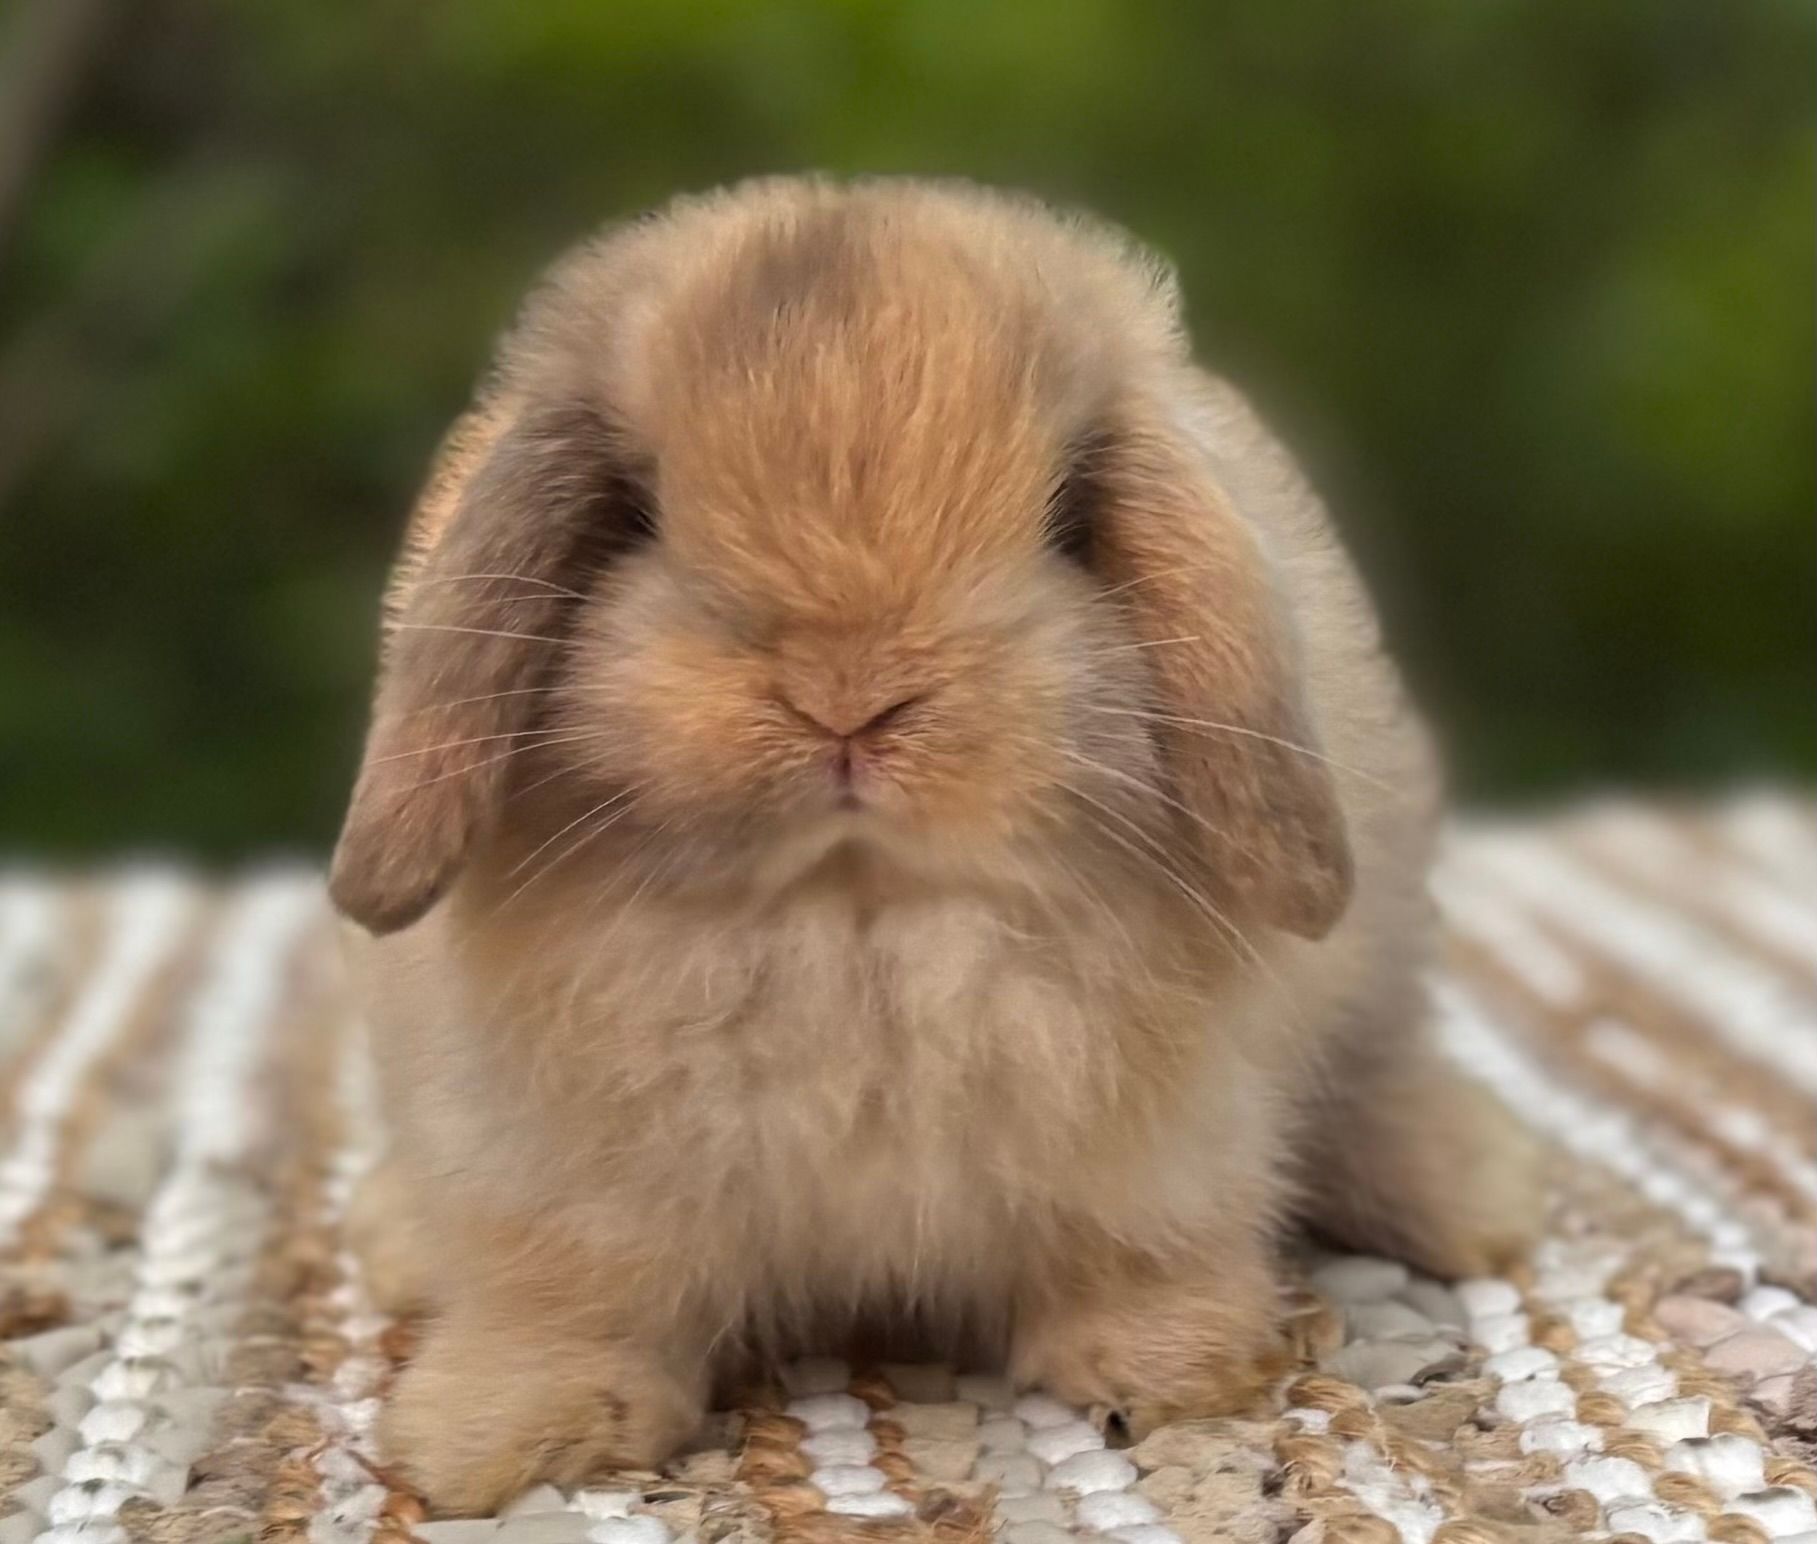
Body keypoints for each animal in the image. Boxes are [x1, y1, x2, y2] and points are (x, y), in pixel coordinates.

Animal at [329, 176, 1538, 1514]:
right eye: (634, 513)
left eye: (1067, 519)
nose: (850, 696)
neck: (856, 913)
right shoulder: (556, 1176)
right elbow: (570, 1295)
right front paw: (493, 1438)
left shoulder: (1156, 1150)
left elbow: (1139, 1252)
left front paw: (1168, 1366)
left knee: (1382, 1082)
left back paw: (1477, 1195)